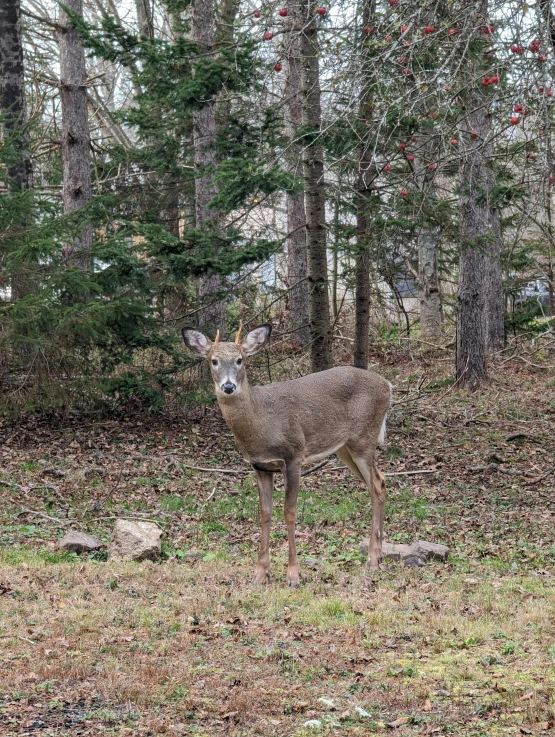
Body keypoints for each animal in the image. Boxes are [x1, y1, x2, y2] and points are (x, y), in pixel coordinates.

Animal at [181, 322, 390, 588]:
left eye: (240, 360)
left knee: (376, 484)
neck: (261, 422)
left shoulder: (293, 456)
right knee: (379, 482)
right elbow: (265, 513)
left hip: (364, 438)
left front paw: (293, 575)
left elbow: (289, 512)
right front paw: (260, 574)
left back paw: (372, 560)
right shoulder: (259, 466)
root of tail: (388, 385)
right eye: (214, 360)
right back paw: (379, 556)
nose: (228, 387)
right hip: (344, 448)